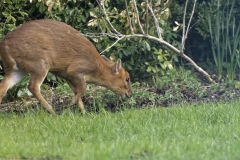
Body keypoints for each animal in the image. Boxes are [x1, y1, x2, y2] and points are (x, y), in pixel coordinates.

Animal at [0, 19, 131, 114]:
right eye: (127, 78)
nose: (130, 94)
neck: (97, 68)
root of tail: (4, 44)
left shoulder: (66, 75)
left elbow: (77, 91)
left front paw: (84, 112)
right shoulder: (76, 69)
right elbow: (82, 89)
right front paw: (68, 106)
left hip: (16, 69)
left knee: (3, 85)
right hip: (39, 63)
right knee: (33, 86)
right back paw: (52, 111)